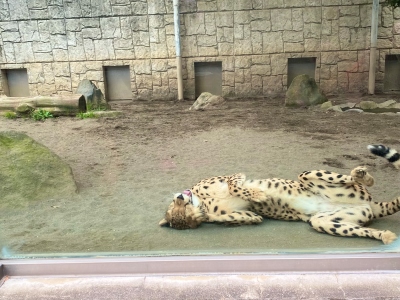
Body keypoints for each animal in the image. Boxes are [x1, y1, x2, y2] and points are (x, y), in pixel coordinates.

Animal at [159, 145, 400, 244]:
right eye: (184, 219)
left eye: (179, 207)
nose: (180, 197)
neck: (203, 202)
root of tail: (372, 205)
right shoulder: (251, 216)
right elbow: (247, 217)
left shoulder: (235, 176)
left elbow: (235, 185)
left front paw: (258, 195)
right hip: (322, 222)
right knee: (361, 229)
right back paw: (384, 236)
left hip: (306, 175)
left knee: (353, 178)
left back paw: (362, 175)